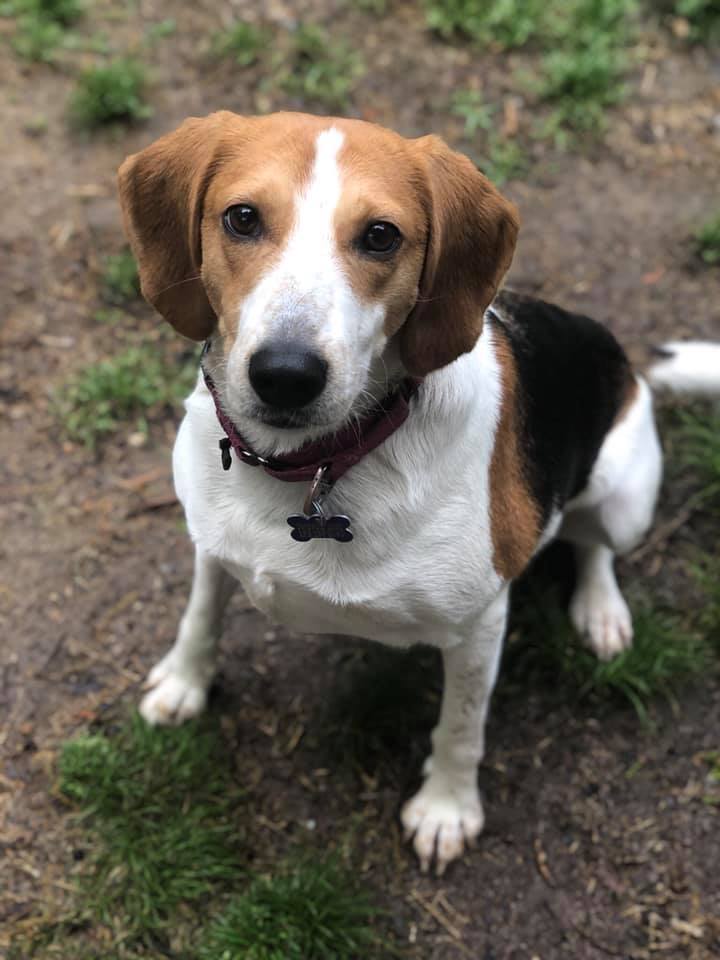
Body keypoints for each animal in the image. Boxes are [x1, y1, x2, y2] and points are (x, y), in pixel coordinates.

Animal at [118, 109, 720, 872]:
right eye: (242, 218)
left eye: (381, 235)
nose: (285, 374)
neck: (315, 467)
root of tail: (625, 362)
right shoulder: (212, 544)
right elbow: (200, 615)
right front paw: (184, 683)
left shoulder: (480, 625)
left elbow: (460, 728)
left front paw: (446, 809)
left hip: (623, 498)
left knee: (594, 545)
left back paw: (600, 609)